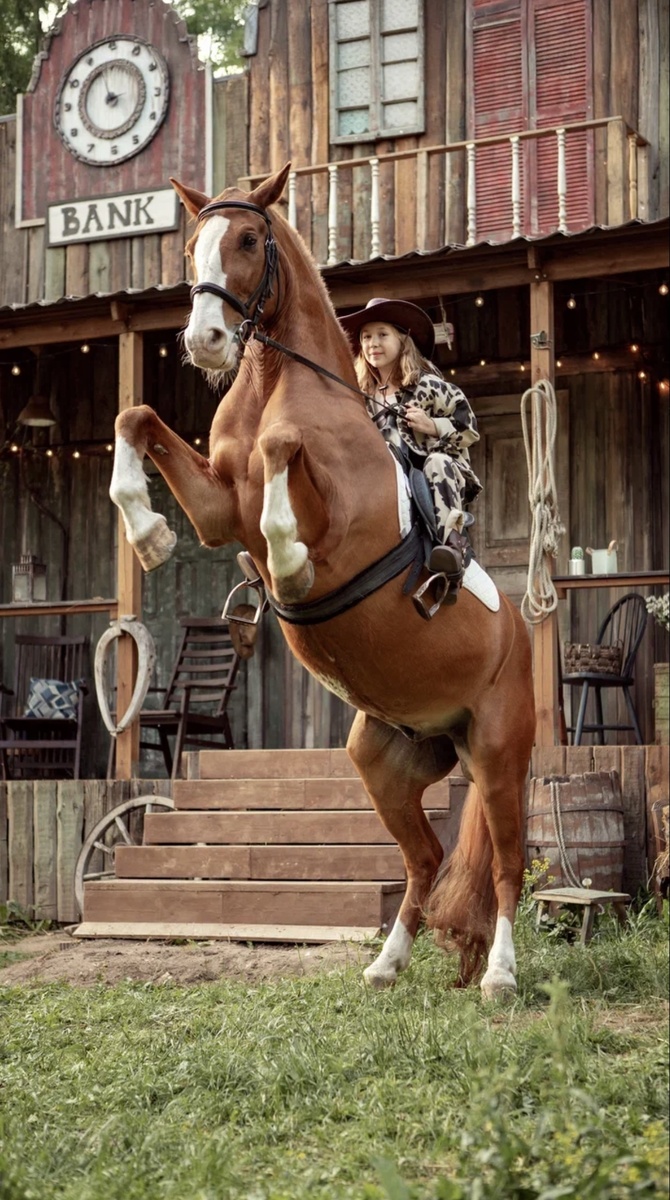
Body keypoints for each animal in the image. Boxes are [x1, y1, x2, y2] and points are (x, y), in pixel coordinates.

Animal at [110, 162, 536, 999]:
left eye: (248, 239)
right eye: (191, 245)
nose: (205, 341)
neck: (278, 380)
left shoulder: (340, 519)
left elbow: (281, 445)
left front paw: (286, 562)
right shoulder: (218, 507)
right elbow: (135, 416)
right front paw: (148, 534)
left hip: (502, 752)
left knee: (506, 863)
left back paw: (500, 977)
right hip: (386, 762)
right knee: (426, 859)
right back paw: (386, 964)